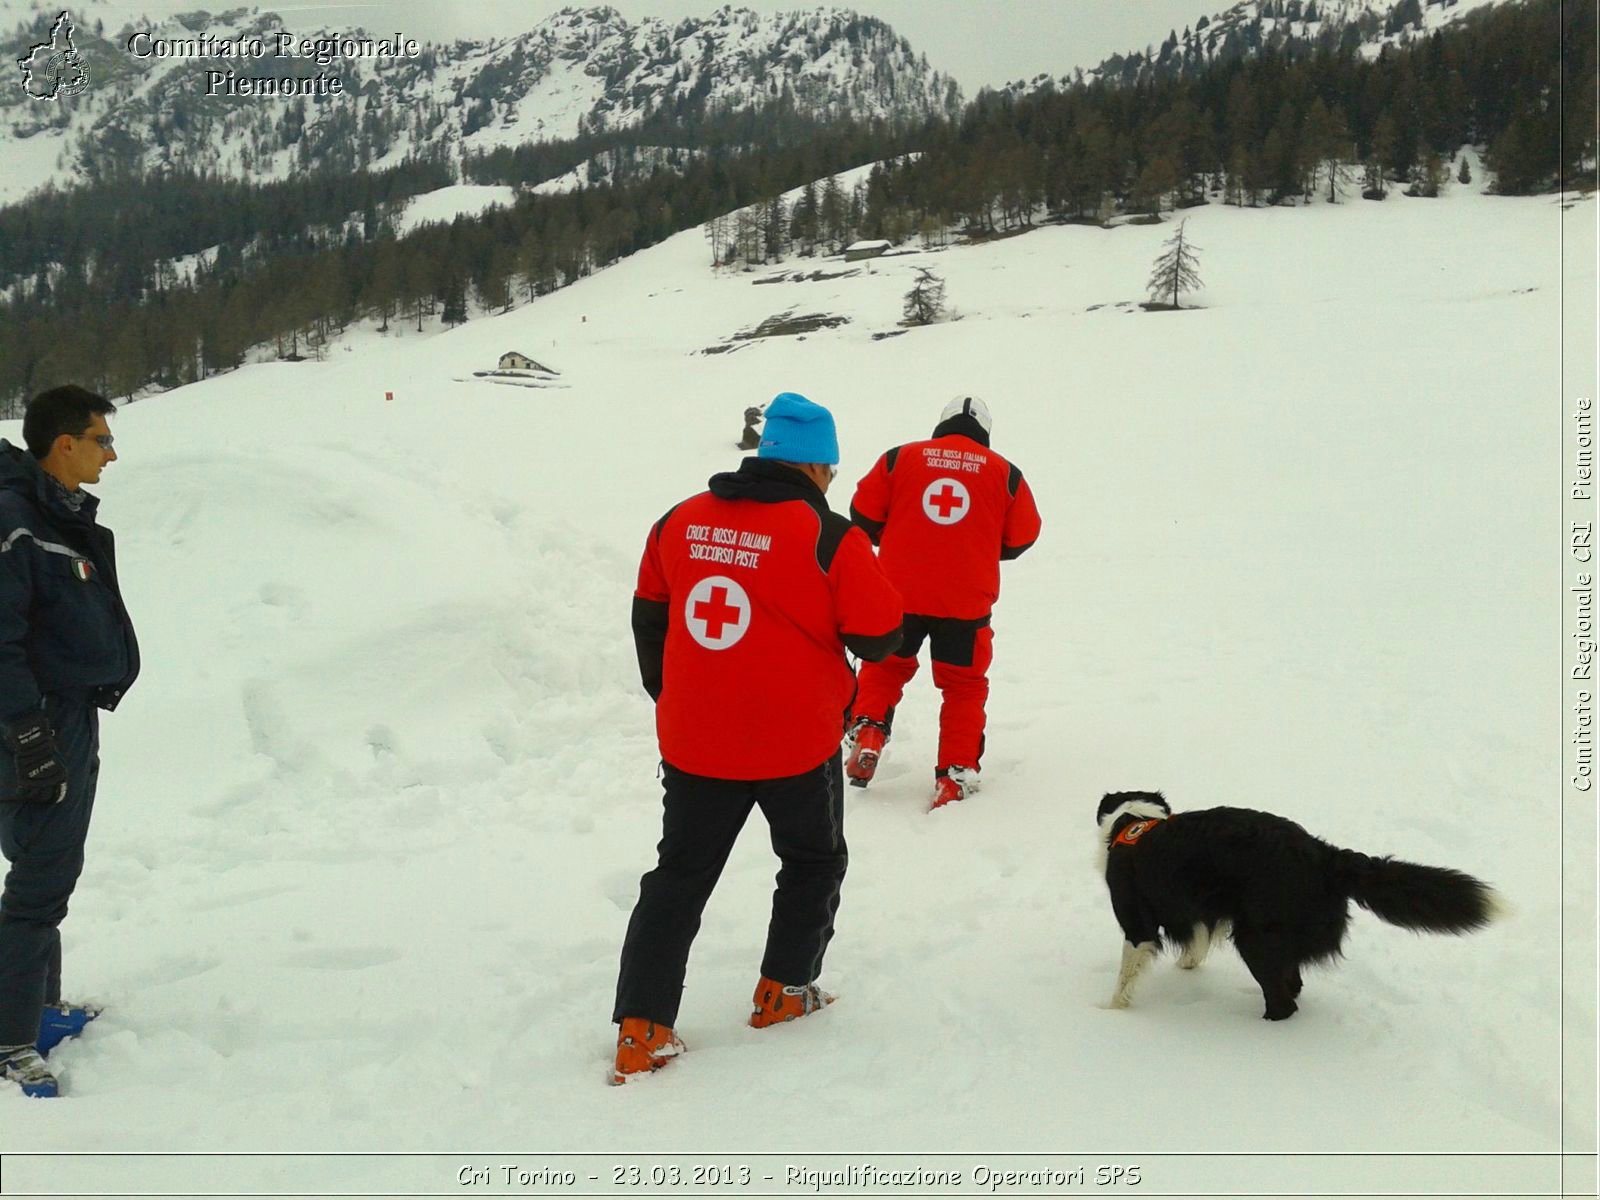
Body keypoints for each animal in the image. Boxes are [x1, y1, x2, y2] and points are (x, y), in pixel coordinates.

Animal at [1094, 790, 1504, 1024]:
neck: (1133, 819)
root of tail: (1326, 856)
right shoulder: (1196, 911)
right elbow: (1195, 942)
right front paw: (1187, 967)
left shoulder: (1137, 925)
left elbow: (1126, 975)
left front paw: (1110, 1013)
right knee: (1293, 985)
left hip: (1257, 939)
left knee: (1283, 1000)